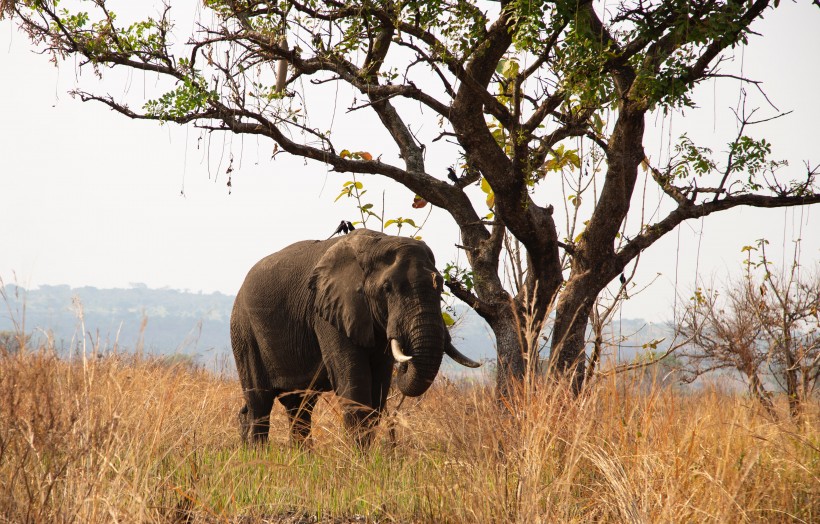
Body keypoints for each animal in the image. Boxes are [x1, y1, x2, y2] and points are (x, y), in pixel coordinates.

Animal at [229, 229, 480, 446]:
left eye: (441, 285)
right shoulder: (327, 311)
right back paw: (258, 455)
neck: (377, 243)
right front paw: (361, 461)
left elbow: (378, 390)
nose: (407, 362)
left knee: (299, 405)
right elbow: (354, 384)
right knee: (260, 403)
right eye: (387, 288)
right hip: (243, 332)